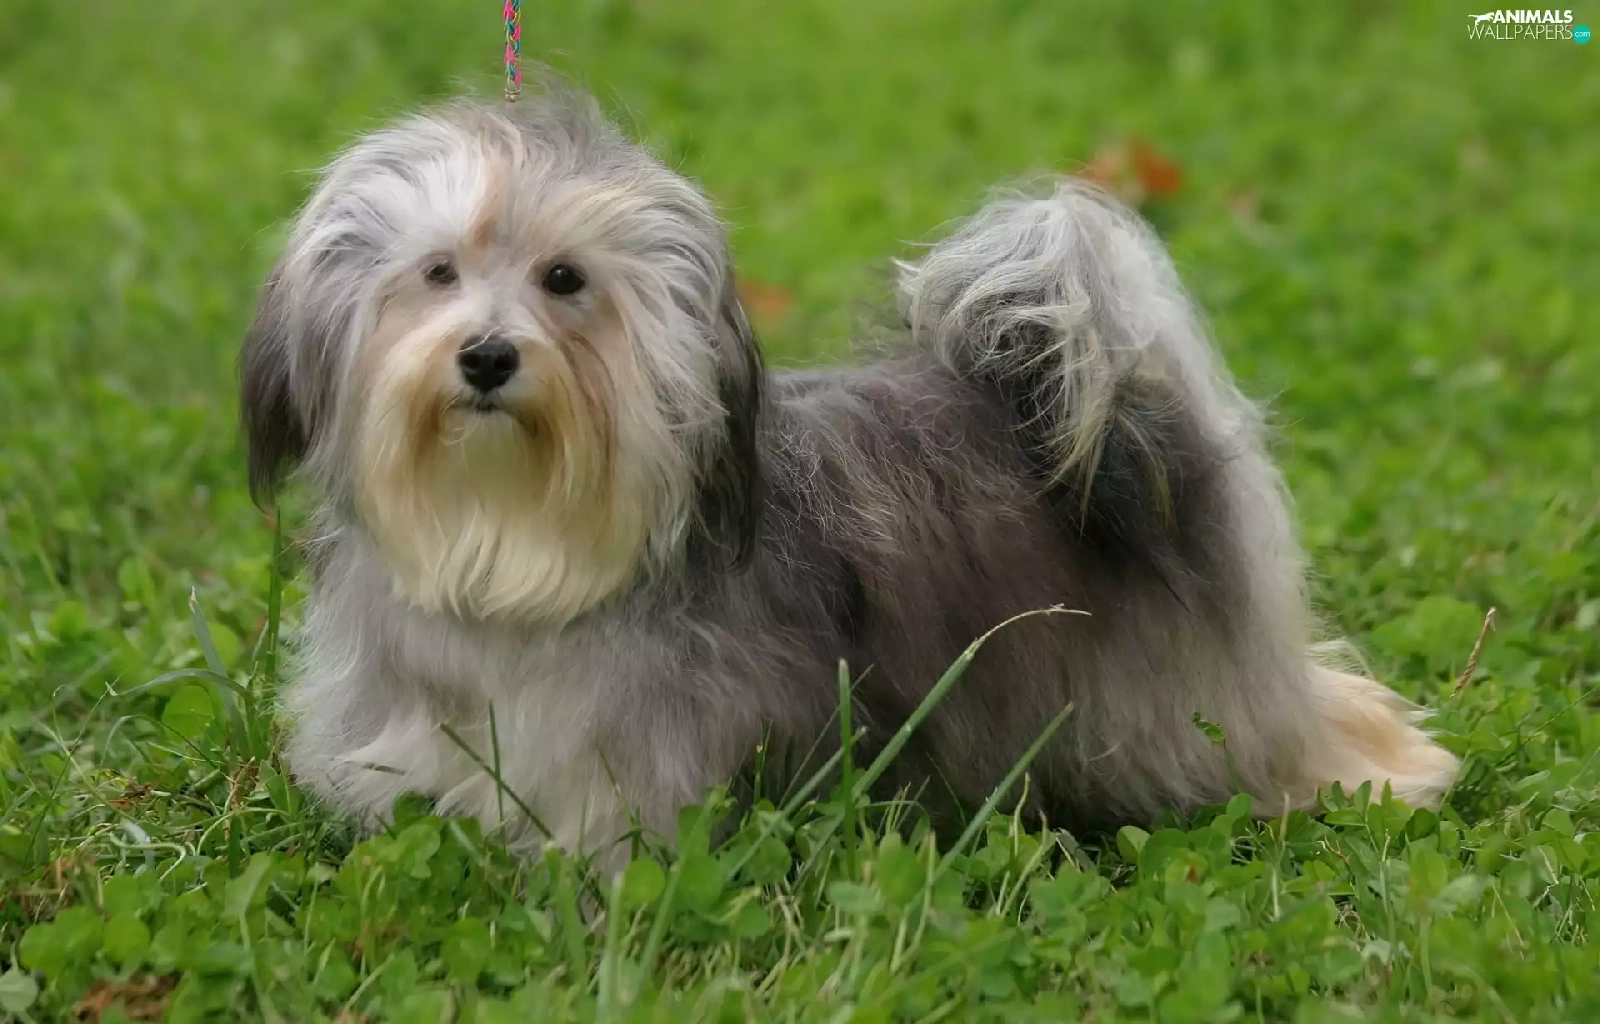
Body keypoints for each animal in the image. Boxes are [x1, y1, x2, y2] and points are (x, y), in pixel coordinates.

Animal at [240, 88, 1458, 868]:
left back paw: (1388, 773)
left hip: (1181, 691)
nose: (487, 357)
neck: (513, 543)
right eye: (438, 272)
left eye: (564, 280)